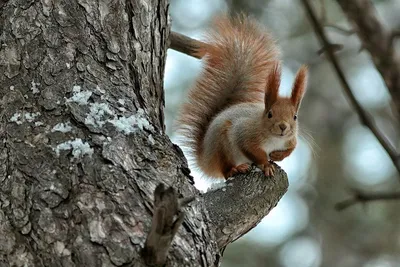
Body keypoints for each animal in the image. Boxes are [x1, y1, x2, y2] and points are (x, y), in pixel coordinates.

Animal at [177, 13, 308, 179]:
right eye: (270, 114)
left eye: (295, 117)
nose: (283, 126)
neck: (274, 139)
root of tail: (206, 160)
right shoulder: (244, 133)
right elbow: (253, 151)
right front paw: (266, 164)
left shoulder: (291, 140)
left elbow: (291, 149)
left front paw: (277, 156)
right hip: (221, 145)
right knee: (225, 170)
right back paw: (235, 169)